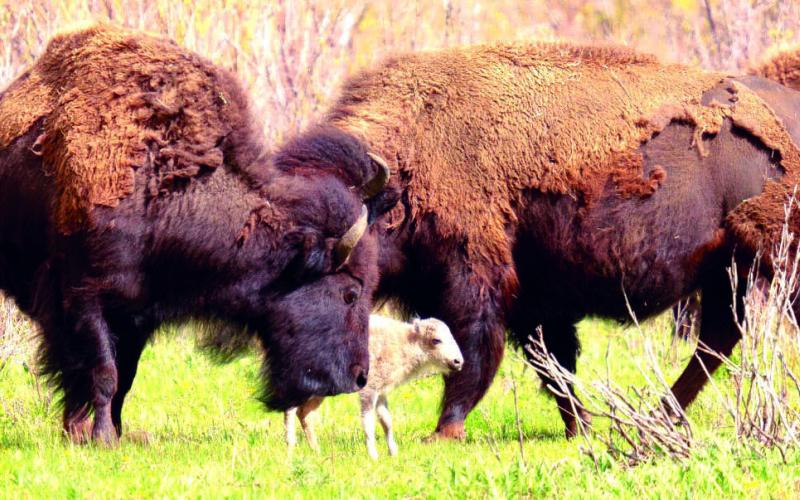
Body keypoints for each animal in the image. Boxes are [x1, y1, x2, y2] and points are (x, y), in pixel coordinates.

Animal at [0, 24, 399, 444]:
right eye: (350, 293)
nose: (358, 376)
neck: (164, 187)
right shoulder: (86, 297)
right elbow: (103, 372)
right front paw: (103, 438)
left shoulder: (138, 313)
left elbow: (123, 376)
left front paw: (107, 434)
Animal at [281, 42, 800, 439]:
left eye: (334, 260)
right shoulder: (535, 297)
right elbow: (552, 362)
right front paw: (580, 429)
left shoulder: (478, 280)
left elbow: (474, 350)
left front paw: (444, 431)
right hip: (728, 270)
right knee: (719, 337)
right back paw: (658, 417)